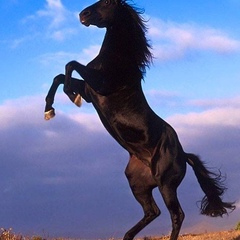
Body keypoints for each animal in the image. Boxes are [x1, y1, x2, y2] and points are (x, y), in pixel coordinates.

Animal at [44, 0, 235, 240]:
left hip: (165, 184)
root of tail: (184, 155)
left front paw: (70, 95)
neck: (117, 59)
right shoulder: (90, 92)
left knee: (176, 215)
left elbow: (70, 65)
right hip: (138, 183)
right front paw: (49, 110)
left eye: (108, 2)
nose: (83, 15)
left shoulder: (100, 85)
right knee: (152, 211)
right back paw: (127, 236)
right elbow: (59, 76)